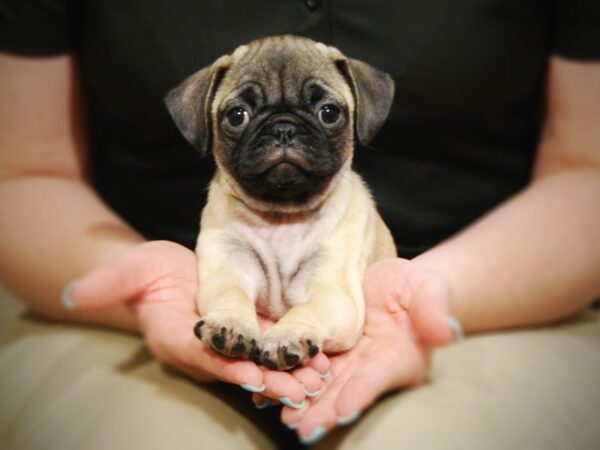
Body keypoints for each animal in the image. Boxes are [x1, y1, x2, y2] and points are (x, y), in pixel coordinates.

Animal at [166, 33, 396, 368]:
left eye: (329, 113)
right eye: (237, 116)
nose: (283, 127)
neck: (282, 215)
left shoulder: (334, 294)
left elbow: (307, 309)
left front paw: (286, 336)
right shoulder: (230, 266)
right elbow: (231, 295)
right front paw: (231, 324)